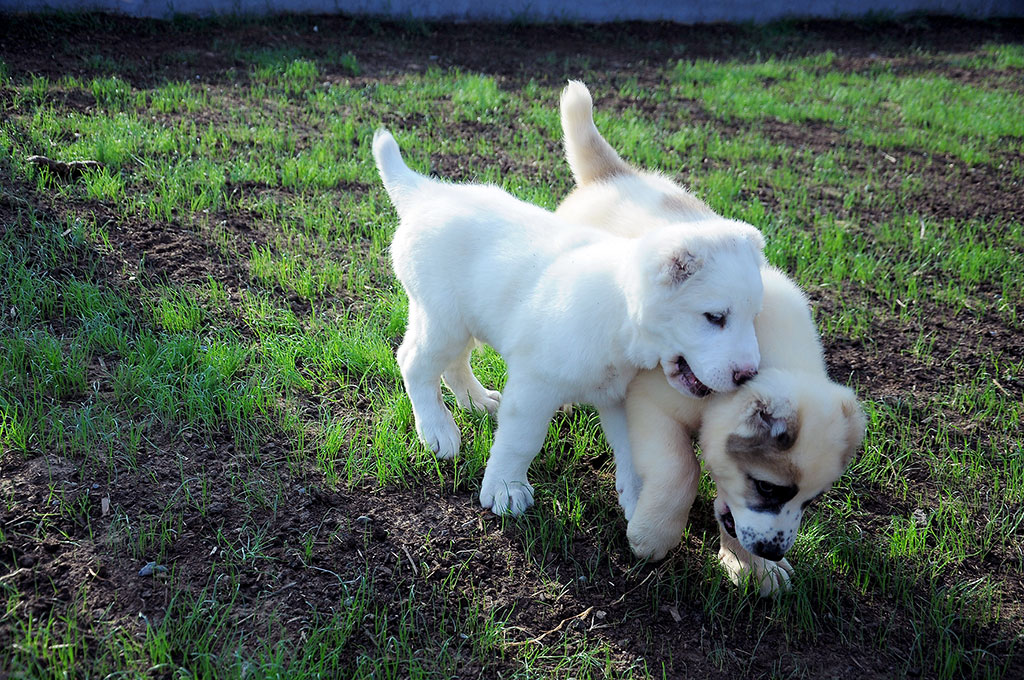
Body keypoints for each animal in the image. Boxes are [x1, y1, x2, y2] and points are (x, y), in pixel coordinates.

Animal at [372, 129, 765, 516]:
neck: (618, 315)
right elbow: (521, 440)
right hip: (442, 320)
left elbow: (632, 451)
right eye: (715, 317)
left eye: (753, 317)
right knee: (414, 362)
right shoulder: (534, 386)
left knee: (454, 363)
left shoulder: (620, 397)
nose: (748, 374)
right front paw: (505, 489)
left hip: (464, 320)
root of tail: (427, 193)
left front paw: (638, 498)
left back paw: (476, 400)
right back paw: (438, 430)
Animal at [557, 80, 868, 593]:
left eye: (811, 500)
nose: (773, 550)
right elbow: (681, 468)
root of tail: (614, 176)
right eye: (768, 487)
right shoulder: (652, 405)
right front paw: (654, 535)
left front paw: (753, 567)